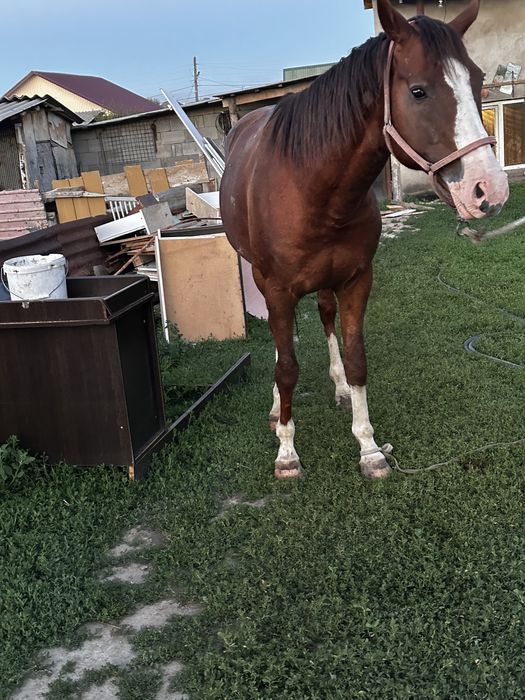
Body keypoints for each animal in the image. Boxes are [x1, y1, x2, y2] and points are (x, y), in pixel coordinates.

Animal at [219, 0, 508, 480]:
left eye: (477, 80)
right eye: (418, 91)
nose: (489, 191)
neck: (311, 188)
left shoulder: (356, 280)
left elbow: (356, 360)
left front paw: (369, 447)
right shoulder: (277, 290)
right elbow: (287, 367)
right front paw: (287, 451)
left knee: (324, 317)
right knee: (285, 348)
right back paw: (278, 409)